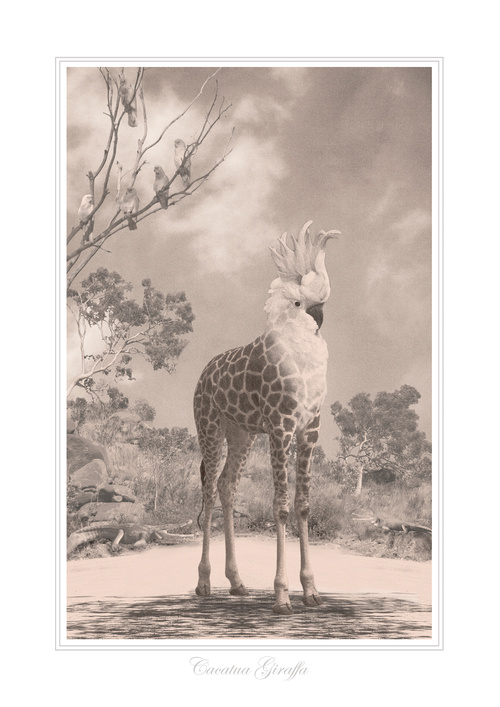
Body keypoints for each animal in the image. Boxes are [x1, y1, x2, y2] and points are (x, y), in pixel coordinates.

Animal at [193, 220, 340, 614]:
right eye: (299, 303)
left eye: (322, 303)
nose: (320, 320)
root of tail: (202, 374)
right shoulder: (280, 427)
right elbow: (281, 508)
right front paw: (281, 595)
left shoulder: (309, 431)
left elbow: (303, 506)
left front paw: (311, 591)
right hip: (209, 427)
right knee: (209, 492)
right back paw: (204, 583)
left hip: (241, 434)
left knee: (227, 485)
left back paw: (237, 582)